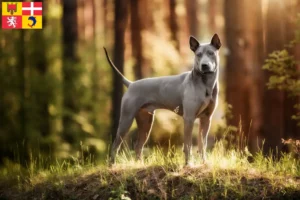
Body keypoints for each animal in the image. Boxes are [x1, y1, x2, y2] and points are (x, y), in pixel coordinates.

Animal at [104, 33, 221, 165]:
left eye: (211, 53)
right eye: (198, 54)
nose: (204, 65)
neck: (205, 85)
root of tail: (131, 84)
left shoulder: (206, 119)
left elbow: (203, 145)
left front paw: (204, 163)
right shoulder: (189, 119)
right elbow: (188, 145)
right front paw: (188, 164)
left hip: (146, 122)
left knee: (138, 146)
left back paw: (140, 164)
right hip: (126, 119)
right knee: (115, 145)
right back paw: (112, 165)